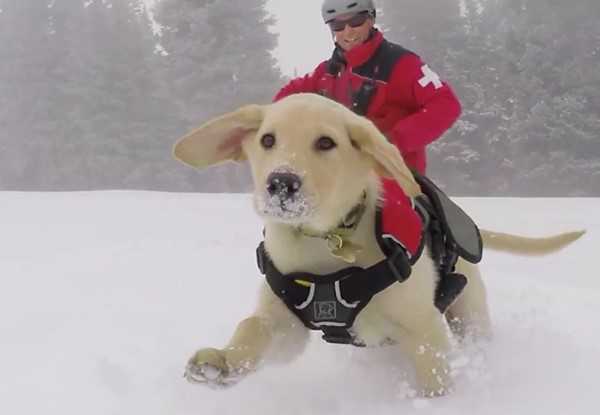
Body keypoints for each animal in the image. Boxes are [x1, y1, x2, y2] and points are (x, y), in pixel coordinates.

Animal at [173, 93, 584, 397]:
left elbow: (435, 375)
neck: (326, 242)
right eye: (267, 140)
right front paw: (222, 362)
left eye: (326, 142)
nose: (281, 183)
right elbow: (252, 327)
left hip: (469, 312)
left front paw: (438, 403)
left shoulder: (423, 326)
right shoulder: (284, 320)